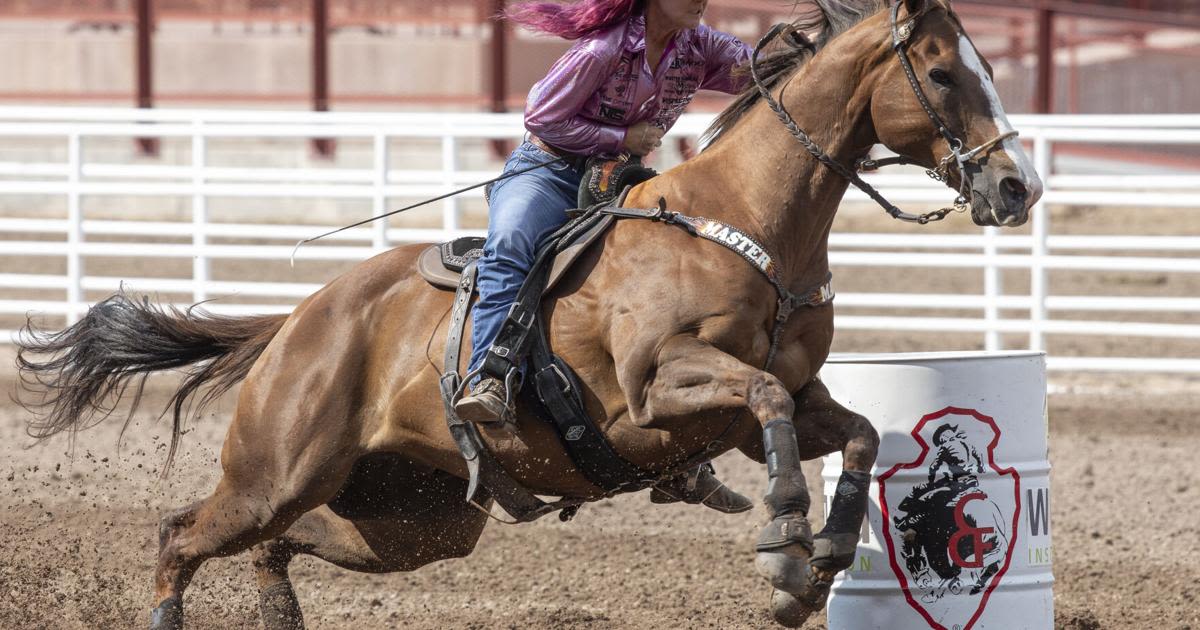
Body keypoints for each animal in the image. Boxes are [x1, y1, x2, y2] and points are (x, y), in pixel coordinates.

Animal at [14, 2, 1041, 624]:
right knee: (180, 535)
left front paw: (820, 555)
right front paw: (786, 545)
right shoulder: (658, 390)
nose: (1017, 185)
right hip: (278, 470)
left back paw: (280, 611)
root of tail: (295, 323)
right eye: (944, 74)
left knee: (278, 546)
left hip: (408, 520)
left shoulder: (767, 406)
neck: (745, 219)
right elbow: (773, 406)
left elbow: (855, 430)